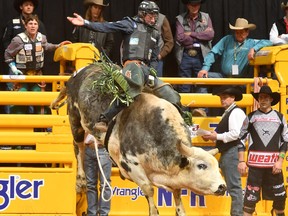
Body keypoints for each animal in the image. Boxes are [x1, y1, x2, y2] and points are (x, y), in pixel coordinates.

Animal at [51, 64, 227, 216]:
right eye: (201, 165)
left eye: (217, 164)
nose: (223, 187)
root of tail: (80, 71)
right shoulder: (130, 165)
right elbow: (149, 189)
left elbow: (177, 193)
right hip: (75, 119)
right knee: (78, 147)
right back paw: (80, 181)